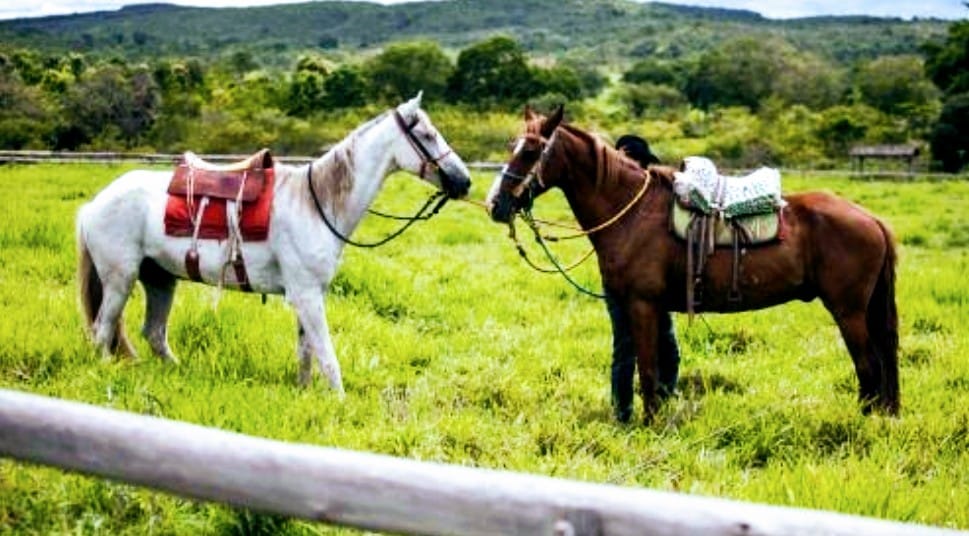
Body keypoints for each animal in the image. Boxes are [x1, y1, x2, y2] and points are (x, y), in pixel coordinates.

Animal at [74, 93, 468, 394]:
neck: (318, 203)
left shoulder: (310, 295)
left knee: (153, 334)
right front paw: (339, 401)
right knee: (102, 330)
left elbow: (306, 353)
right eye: (428, 135)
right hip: (120, 279)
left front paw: (305, 394)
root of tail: (93, 205)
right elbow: (327, 356)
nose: (464, 182)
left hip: (160, 280)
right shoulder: (307, 295)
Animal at [484, 107, 900, 420]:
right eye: (511, 146)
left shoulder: (642, 304)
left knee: (869, 367)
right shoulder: (641, 306)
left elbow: (648, 370)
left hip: (847, 310)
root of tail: (872, 220)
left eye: (530, 151)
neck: (631, 212)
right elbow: (648, 366)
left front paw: (651, 424)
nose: (495, 204)